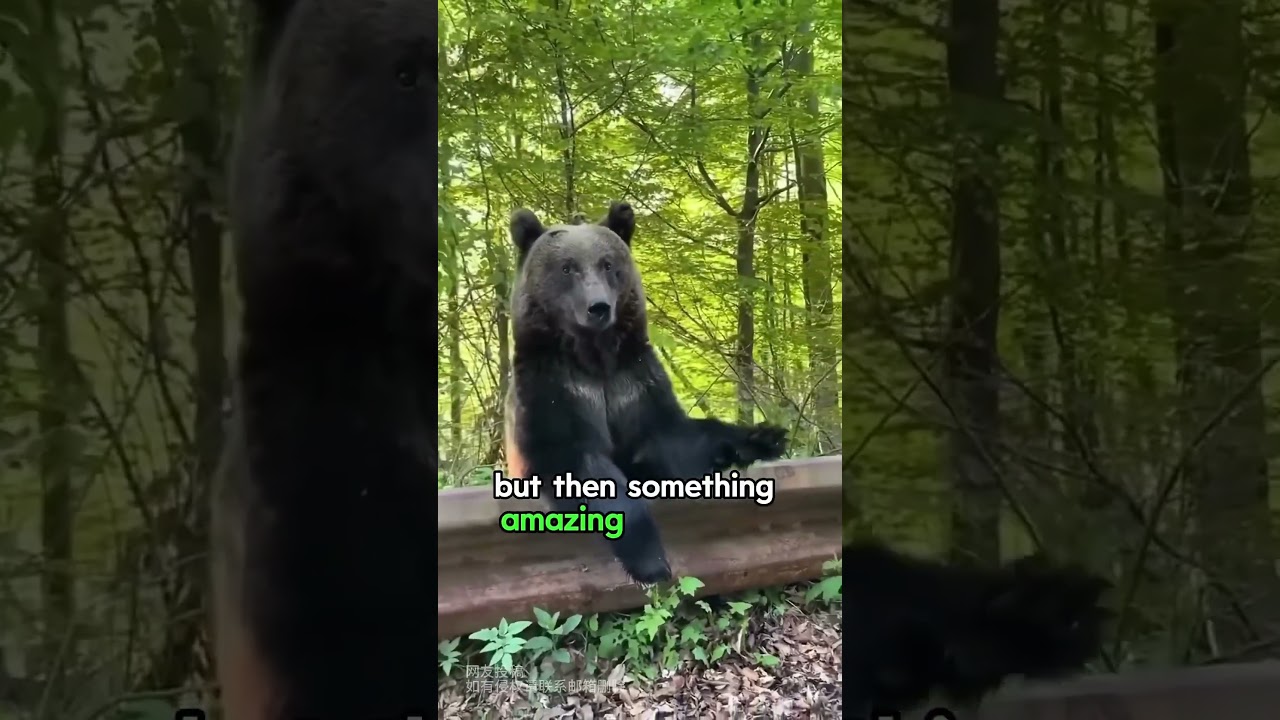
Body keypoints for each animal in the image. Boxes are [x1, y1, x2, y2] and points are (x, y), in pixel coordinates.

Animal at [504, 202, 789, 585]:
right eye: (567, 267)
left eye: (608, 264)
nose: (598, 307)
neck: (595, 358)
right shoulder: (555, 388)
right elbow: (576, 461)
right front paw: (650, 560)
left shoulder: (632, 381)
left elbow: (671, 437)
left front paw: (764, 437)